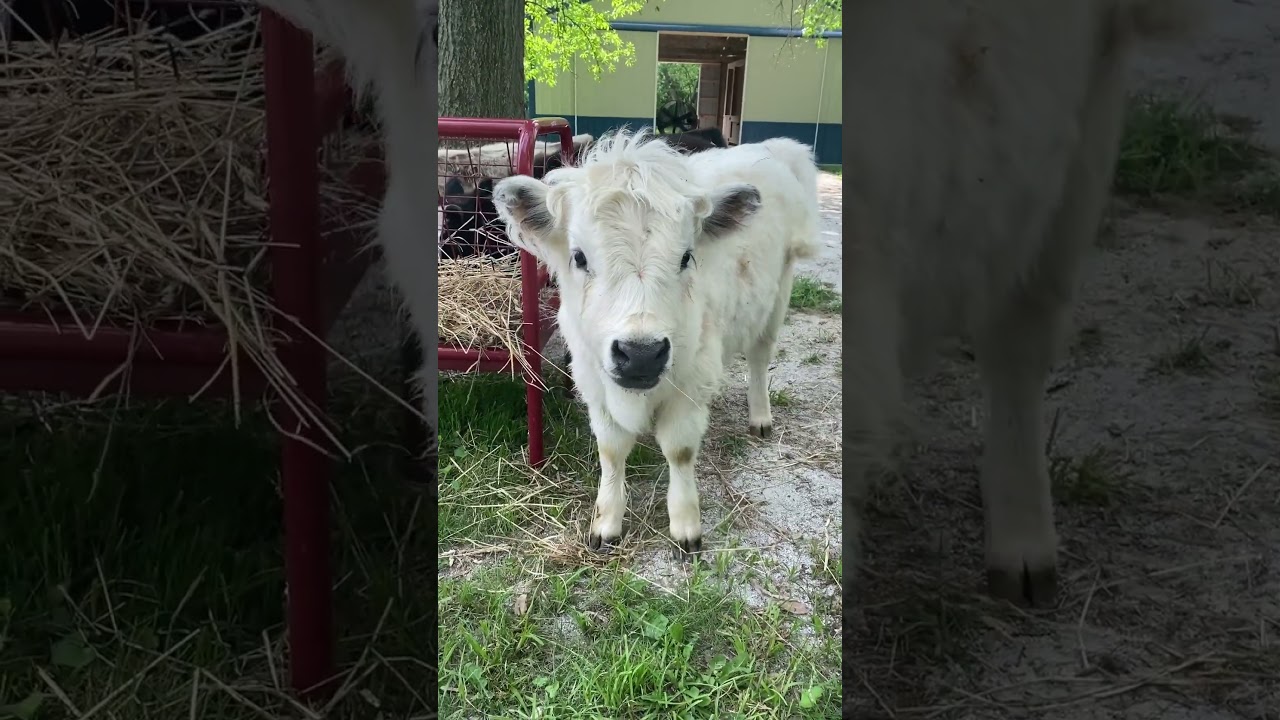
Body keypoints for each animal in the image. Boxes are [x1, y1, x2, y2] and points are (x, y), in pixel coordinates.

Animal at [491, 130, 821, 559]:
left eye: (686, 257)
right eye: (579, 257)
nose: (641, 355)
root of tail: (774, 147)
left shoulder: (691, 383)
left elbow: (680, 451)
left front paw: (685, 525)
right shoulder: (594, 381)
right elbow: (611, 451)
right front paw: (606, 522)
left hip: (777, 297)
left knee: (759, 359)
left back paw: (760, 416)